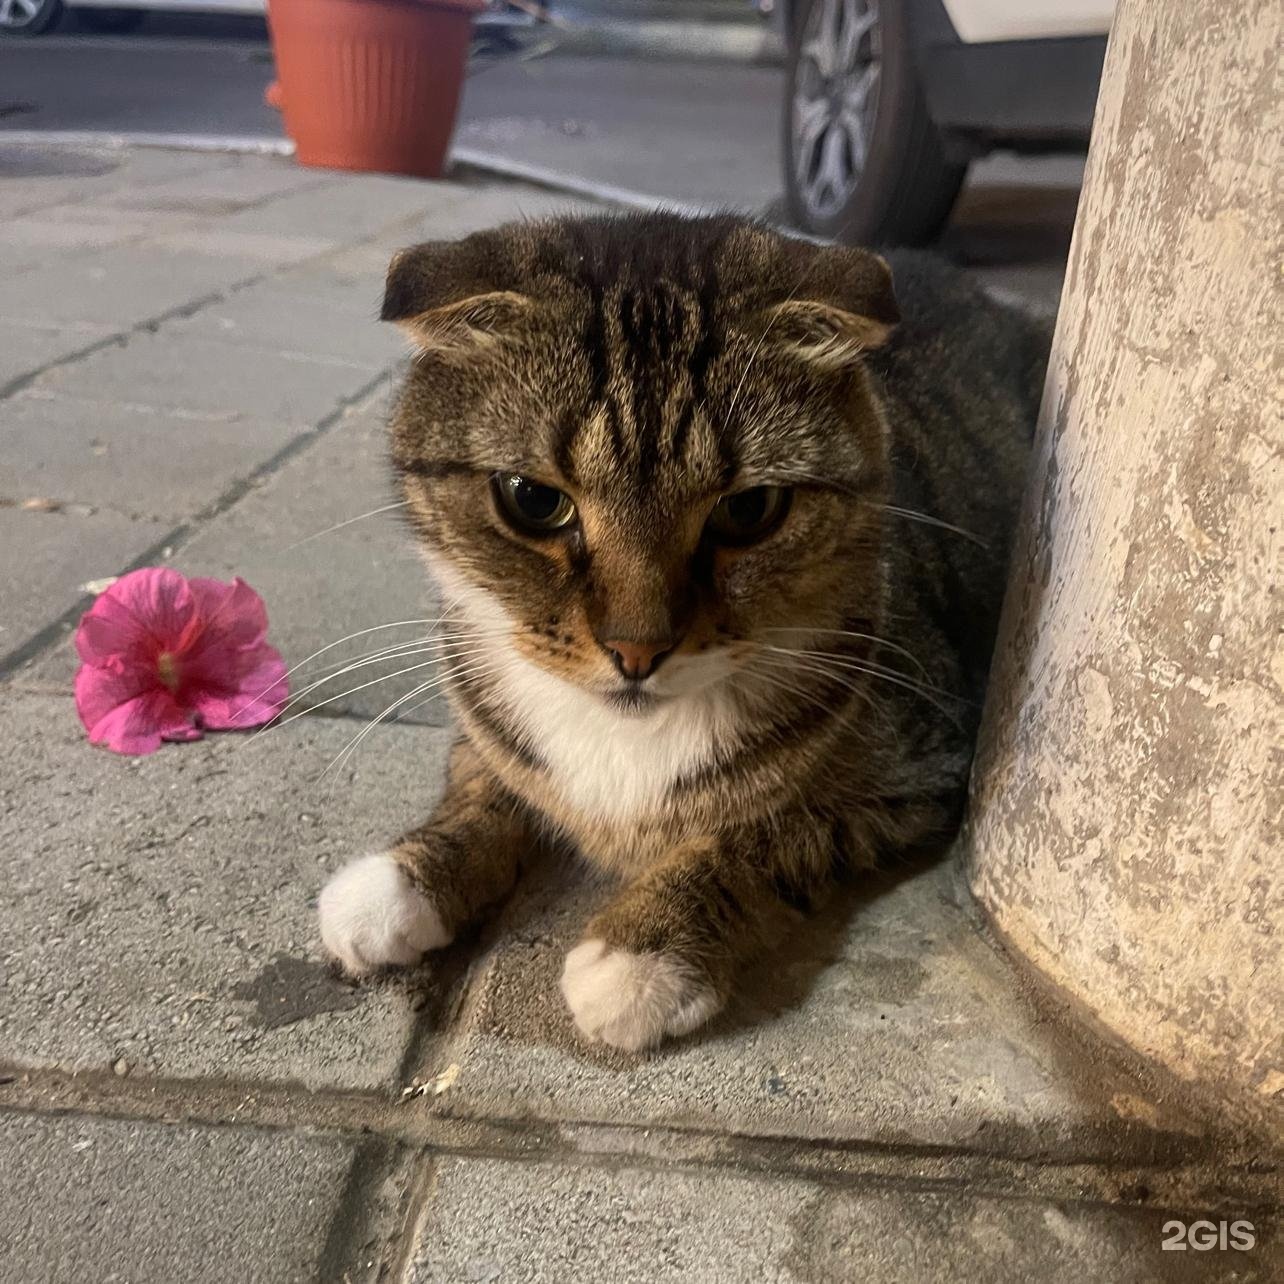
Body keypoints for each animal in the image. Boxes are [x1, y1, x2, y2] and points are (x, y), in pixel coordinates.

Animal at [315, 213, 1047, 1052]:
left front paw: (646, 949)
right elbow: (481, 784)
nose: (637, 649)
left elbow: (767, 835)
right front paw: (401, 881)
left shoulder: (919, 768)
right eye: (532, 499)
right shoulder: (486, 716)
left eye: (749, 510)